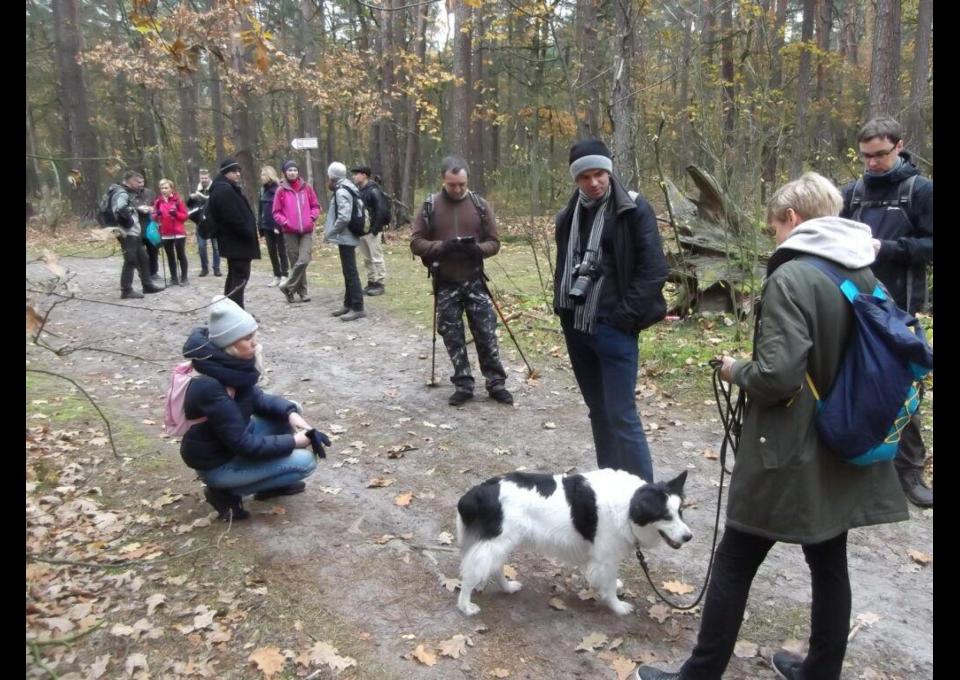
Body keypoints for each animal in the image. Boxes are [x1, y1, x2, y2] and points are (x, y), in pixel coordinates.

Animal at [456, 468, 688, 616]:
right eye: (666, 516)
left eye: (680, 512)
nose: (688, 536)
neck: (629, 505)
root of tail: (479, 490)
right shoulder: (606, 557)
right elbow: (609, 586)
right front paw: (618, 607)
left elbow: (609, 580)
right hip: (496, 542)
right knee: (471, 574)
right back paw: (465, 606)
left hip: (502, 542)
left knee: (494, 567)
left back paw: (507, 588)